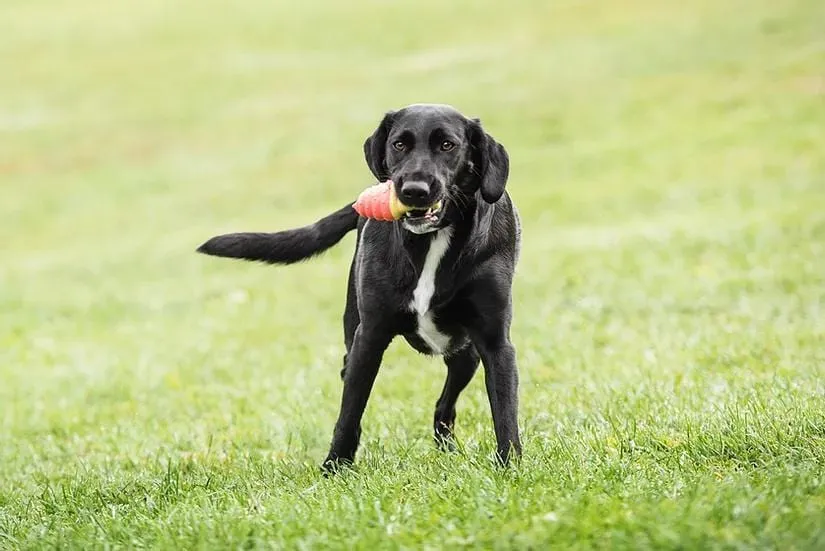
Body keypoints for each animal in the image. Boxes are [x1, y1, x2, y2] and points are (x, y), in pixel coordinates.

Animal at [198, 103, 520, 470]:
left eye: (448, 145)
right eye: (399, 144)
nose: (413, 190)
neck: (431, 243)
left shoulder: (495, 343)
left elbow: (505, 411)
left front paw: (510, 467)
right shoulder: (369, 338)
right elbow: (349, 412)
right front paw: (335, 466)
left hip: (466, 354)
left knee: (445, 405)